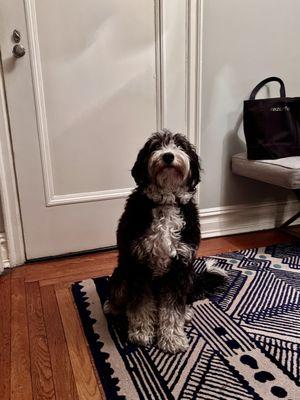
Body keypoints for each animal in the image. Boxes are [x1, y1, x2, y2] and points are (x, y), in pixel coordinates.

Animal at [104, 130, 224, 354]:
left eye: (181, 146)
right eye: (155, 146)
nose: (168, 155)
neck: (166, 203)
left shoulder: (179, 269)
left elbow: (172, 309)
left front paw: (172, 338)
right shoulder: (138, 265)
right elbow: (141, 305)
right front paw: (141, 332)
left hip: (189, 278)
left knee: (182, 301)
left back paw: (187, 312)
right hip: (122, 272)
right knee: (120, 293)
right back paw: (112, 306)